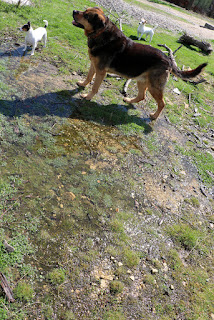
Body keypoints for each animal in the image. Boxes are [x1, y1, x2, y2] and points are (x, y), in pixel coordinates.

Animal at [72, 7, 207, 120]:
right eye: (85, 11)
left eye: (86, 16)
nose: (74, 11)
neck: (101, 33)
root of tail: (168, 59)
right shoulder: (93, 65)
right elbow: (89, 77)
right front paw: (82, 84)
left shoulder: (100, 71)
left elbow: (94, 87)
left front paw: (87, 97)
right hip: (142, 81)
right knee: (142, 96)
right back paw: (129, 100)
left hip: (154, 87)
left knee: (162, 103)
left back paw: (154, 116)